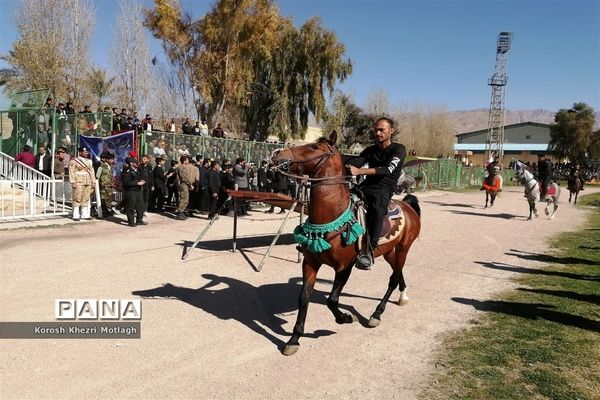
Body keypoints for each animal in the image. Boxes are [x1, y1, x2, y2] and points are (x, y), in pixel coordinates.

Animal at [272, 132, 422, 356]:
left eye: (314, 147)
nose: (276, 153)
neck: (331, 217)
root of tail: (408, 205)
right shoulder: (310, 263)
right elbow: (304, 298)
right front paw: (294, 339)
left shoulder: (344, 267)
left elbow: (332, 299)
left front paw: (344, 318)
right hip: (389, 251)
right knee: (398, 271)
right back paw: (402, 296)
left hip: (404, 247)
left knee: (393, 279)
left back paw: (376, 314)